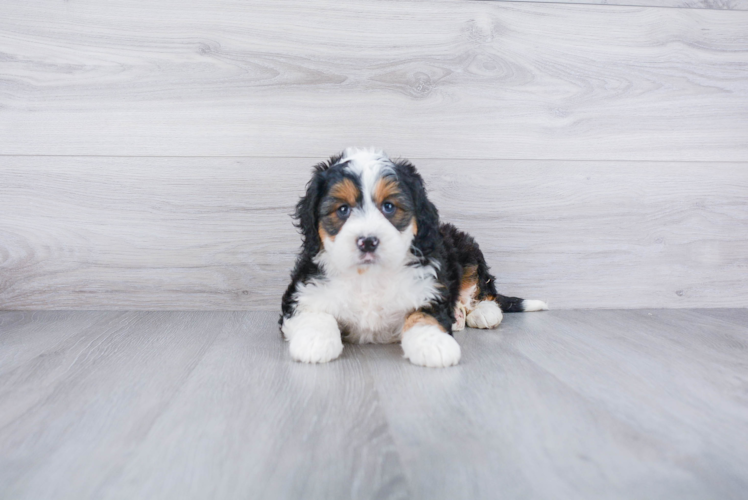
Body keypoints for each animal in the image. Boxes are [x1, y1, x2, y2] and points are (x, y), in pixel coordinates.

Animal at [278, 148, 548, 368]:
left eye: (389, 207)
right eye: (343, 209)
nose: (368, 241)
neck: (369, 276)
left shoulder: (429, 290)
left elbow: (422, 316)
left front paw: (434, 344)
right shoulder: (302, 293)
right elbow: (314, 313)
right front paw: (314, 341)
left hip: (467, 250)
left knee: (484, 290)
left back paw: (482, 312)